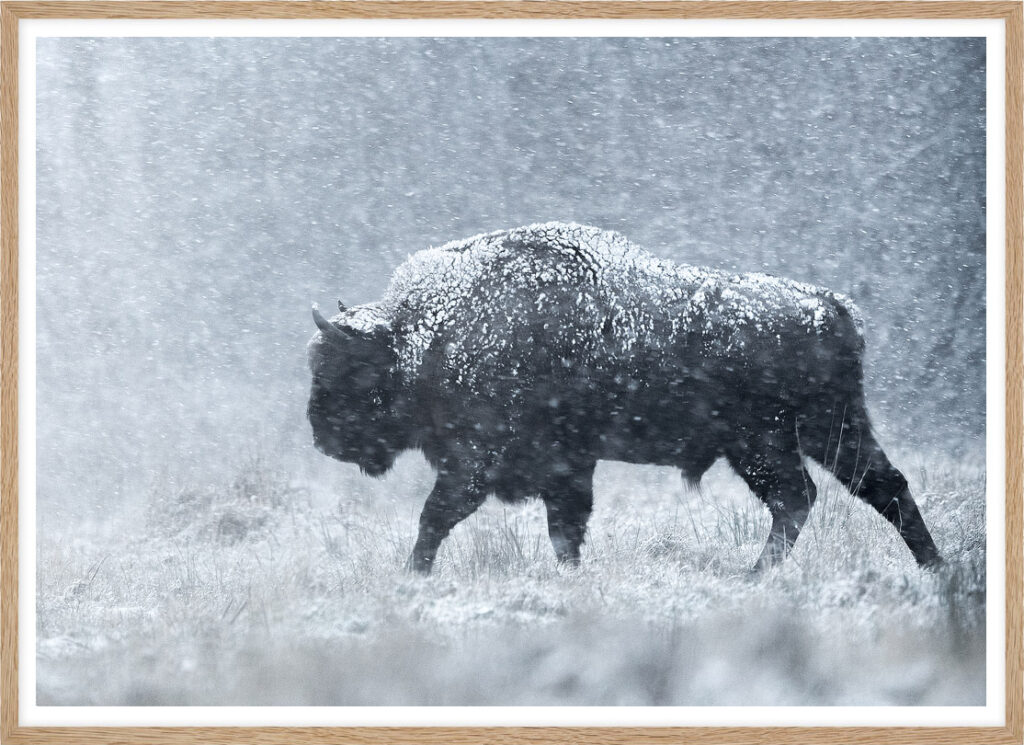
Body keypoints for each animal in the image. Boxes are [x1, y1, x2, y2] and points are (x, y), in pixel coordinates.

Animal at [307, 223, 941, 574]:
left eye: (345, 368)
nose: (321, 437)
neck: (427, 333)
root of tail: (831, 305)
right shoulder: (565, 465)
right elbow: (565, 530)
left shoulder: (476, 460)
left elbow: (436, 516)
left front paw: (412, 577)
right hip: (821, 431)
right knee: (871, 487)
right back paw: (935, 569)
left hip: (770, 441)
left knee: (804, 498)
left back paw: (757, 576)